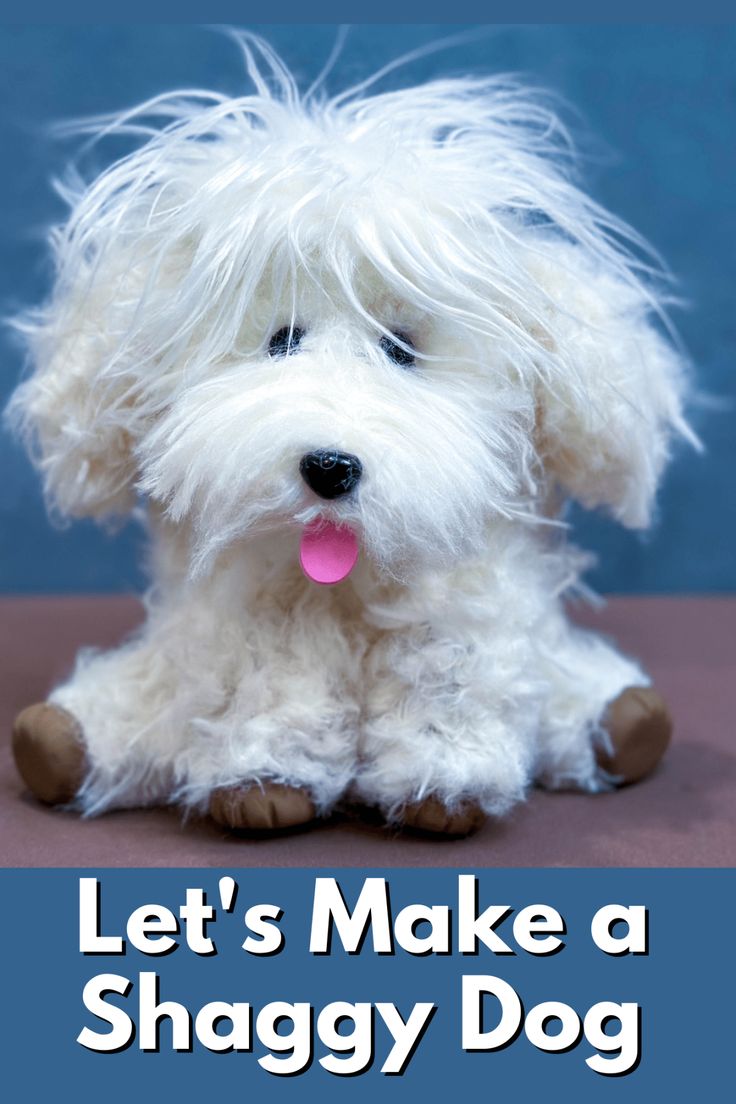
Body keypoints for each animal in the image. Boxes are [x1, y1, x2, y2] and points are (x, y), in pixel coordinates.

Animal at [10, 38, 692, 834]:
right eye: (280, 341)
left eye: (401, 348)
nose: (330, 466)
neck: (343, 587)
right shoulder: (260, 632)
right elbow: (271, 692)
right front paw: (262, 782)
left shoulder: (459, 620)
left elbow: (448, 677)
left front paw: (444, 785)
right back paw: (61, 741)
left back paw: (623, 719)